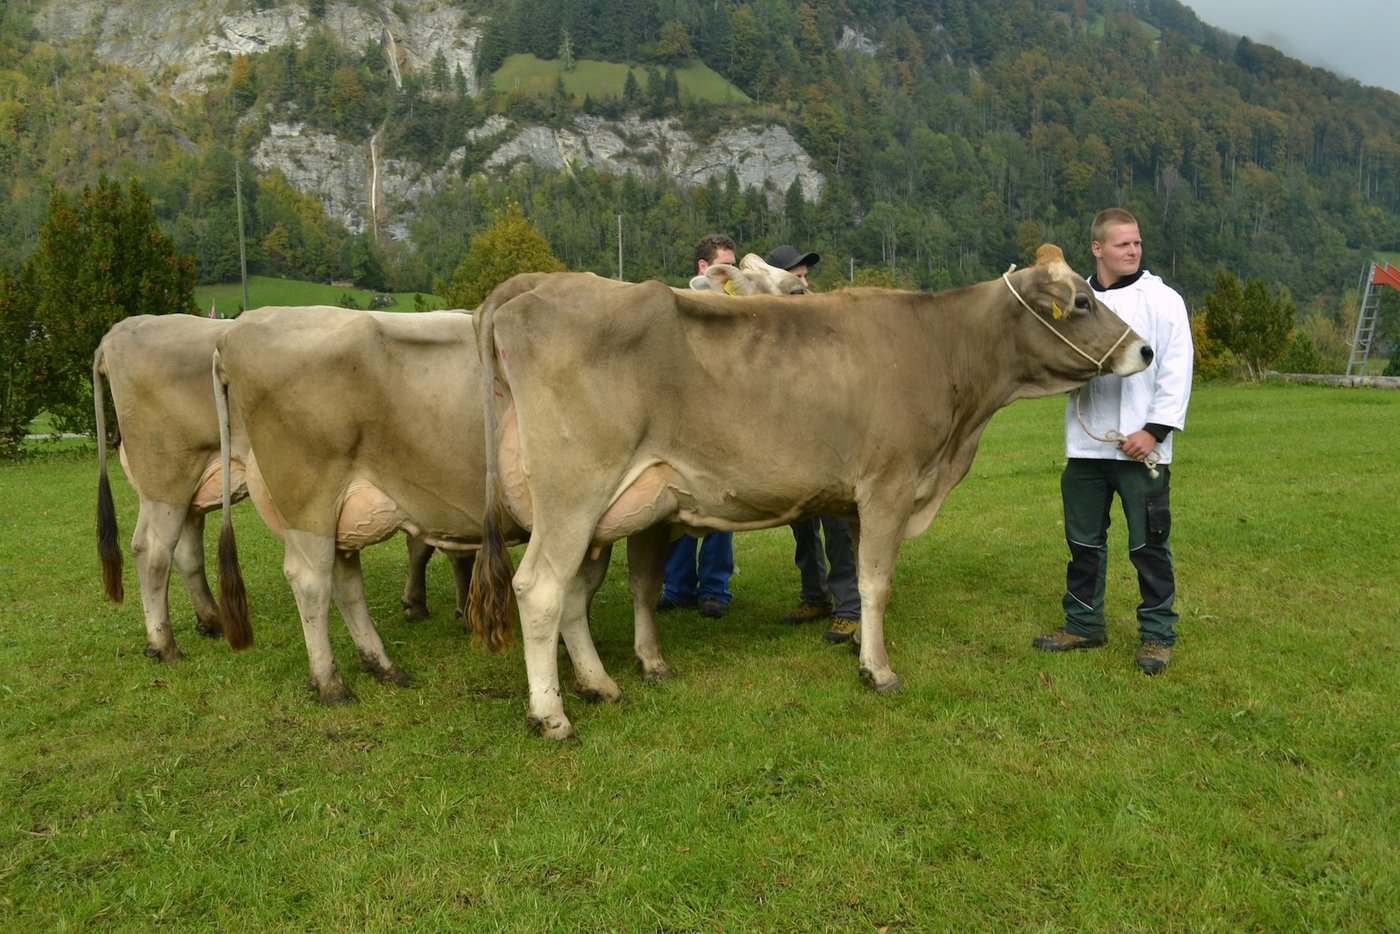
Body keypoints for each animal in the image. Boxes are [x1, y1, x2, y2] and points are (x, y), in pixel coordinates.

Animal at [93, 314, 465, 663]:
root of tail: (118, 331)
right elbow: (443, 549)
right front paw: (454, 609)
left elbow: (426, 545)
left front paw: (426, 604)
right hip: (167, 478)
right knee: (152, 550)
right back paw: (163, 645)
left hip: (181, 486)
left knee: (184, 550)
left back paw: (210, 621)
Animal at [467, 245, 1154, 738]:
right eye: (1084, 301)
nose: (1144, 350)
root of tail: (537, 287)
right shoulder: (889, 485)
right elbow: (877, 583)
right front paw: (879, 671)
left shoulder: (854, 500)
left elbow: (856, 578)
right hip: (574, 492)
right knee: (540, 589)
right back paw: (551, 715)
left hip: (603, 510)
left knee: (574, 594)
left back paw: (598, 684)